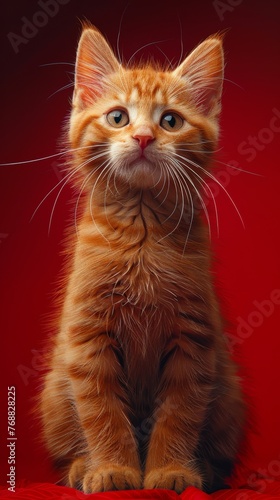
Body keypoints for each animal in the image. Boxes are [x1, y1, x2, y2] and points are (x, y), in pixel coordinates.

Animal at [40, 25, 244, 494]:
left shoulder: (194, 341)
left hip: (227, 392)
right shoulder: (87, 338)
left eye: (170, 120)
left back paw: (205, 472)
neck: (142, 235)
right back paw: (81, 467)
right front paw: (113, 469)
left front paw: (171, 472)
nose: (144, 138)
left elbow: (179, 414)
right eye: (118, 117)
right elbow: (101, 412)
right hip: (55, 389)